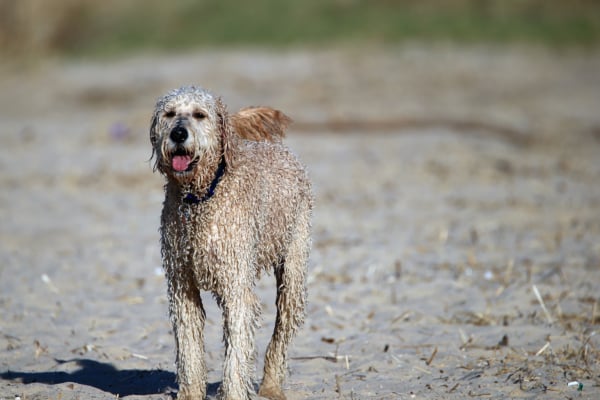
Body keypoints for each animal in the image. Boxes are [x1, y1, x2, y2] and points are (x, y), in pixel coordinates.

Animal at [149, 86, 312, 400]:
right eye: (170, 114)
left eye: (200, 115)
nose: (178, 134)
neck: (200, 198)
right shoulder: (182, 286)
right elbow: (189, 349)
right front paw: (190, 392)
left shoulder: (237, 286)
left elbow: (236, 355)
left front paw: (234, 391)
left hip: (293, 267)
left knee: (282, 329)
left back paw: (271, 385)